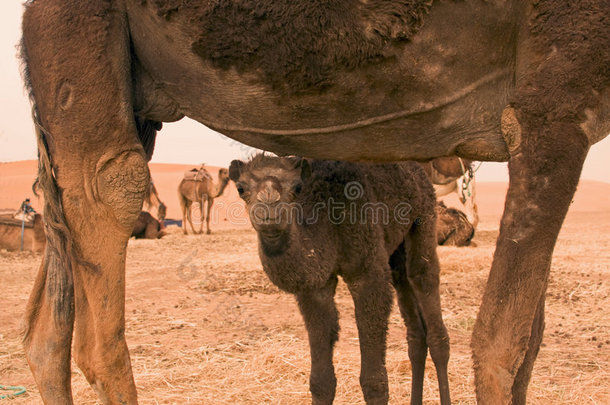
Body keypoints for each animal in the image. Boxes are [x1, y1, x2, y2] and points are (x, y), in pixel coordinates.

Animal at [228, 155, 446, 404]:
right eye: (241, 187)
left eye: (297, 187)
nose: (269, 206)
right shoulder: (316, 287)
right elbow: (321, 382)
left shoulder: (368, 272)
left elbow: (374, 382)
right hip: (397, 250)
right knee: (413, 323)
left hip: (424, 217)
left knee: (425, 282)